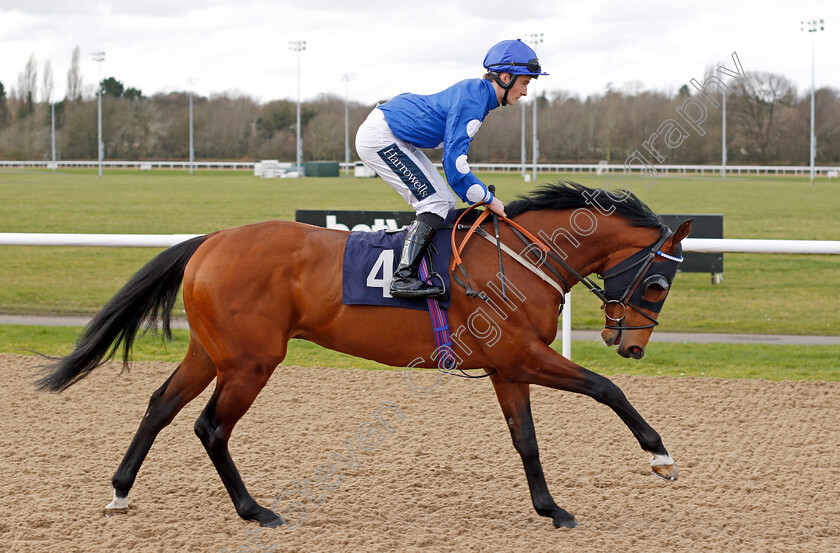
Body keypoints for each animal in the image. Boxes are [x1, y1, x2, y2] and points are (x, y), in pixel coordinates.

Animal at [36, 179, 692, 528]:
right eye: (659, 283)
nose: (630, 345)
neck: (522, 257)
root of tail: (212, 240)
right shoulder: (522, 356)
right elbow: (606, 389)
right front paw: (660, 456)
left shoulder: (508, 367)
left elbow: (526, 439)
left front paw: (550, 508)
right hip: (250, 362)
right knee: (210, 426)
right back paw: (255, 510)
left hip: (211, 353)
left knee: (160, 406)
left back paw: (121, 491)